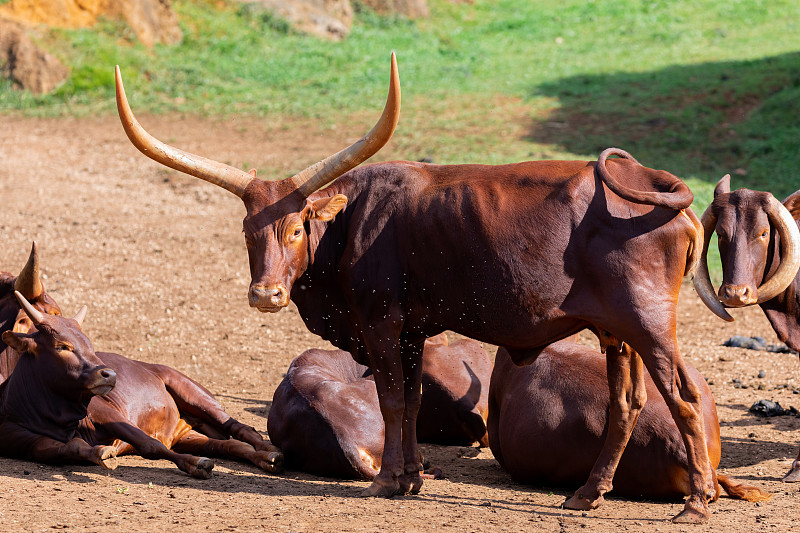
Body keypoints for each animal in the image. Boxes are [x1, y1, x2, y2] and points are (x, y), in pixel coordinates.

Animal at [0, 294, 284, 476]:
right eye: (63, 346)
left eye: (89, 344)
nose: (109, 374)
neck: (54, 414)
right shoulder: (28, 443)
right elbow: (71, 447)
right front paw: (100, 453)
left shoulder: (106, 412)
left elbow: (150, 445)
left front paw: (194, 464)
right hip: (186, 434)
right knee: (228, 445)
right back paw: (263, 458)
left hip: (193, 393)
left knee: (241, 429)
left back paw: (270, 450)